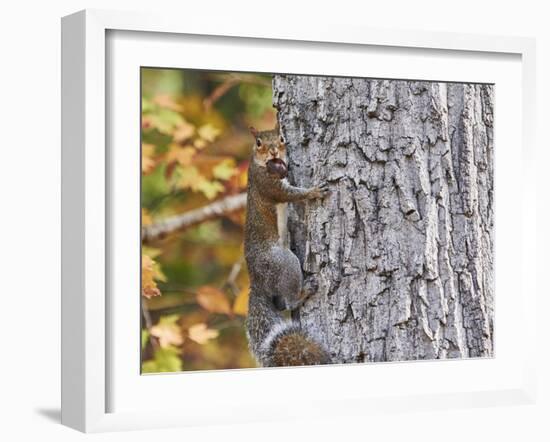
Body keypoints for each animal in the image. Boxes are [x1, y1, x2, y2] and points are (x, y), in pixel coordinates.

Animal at [246, 123, 332, 366]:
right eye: (258, 143)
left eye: (282, 138)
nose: (274, 151)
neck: (261, 165)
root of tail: (258, 281)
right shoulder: (268, 186)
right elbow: (291, 194)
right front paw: (314, 191)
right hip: (284, 263)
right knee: (290, 302)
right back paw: (305, 291)